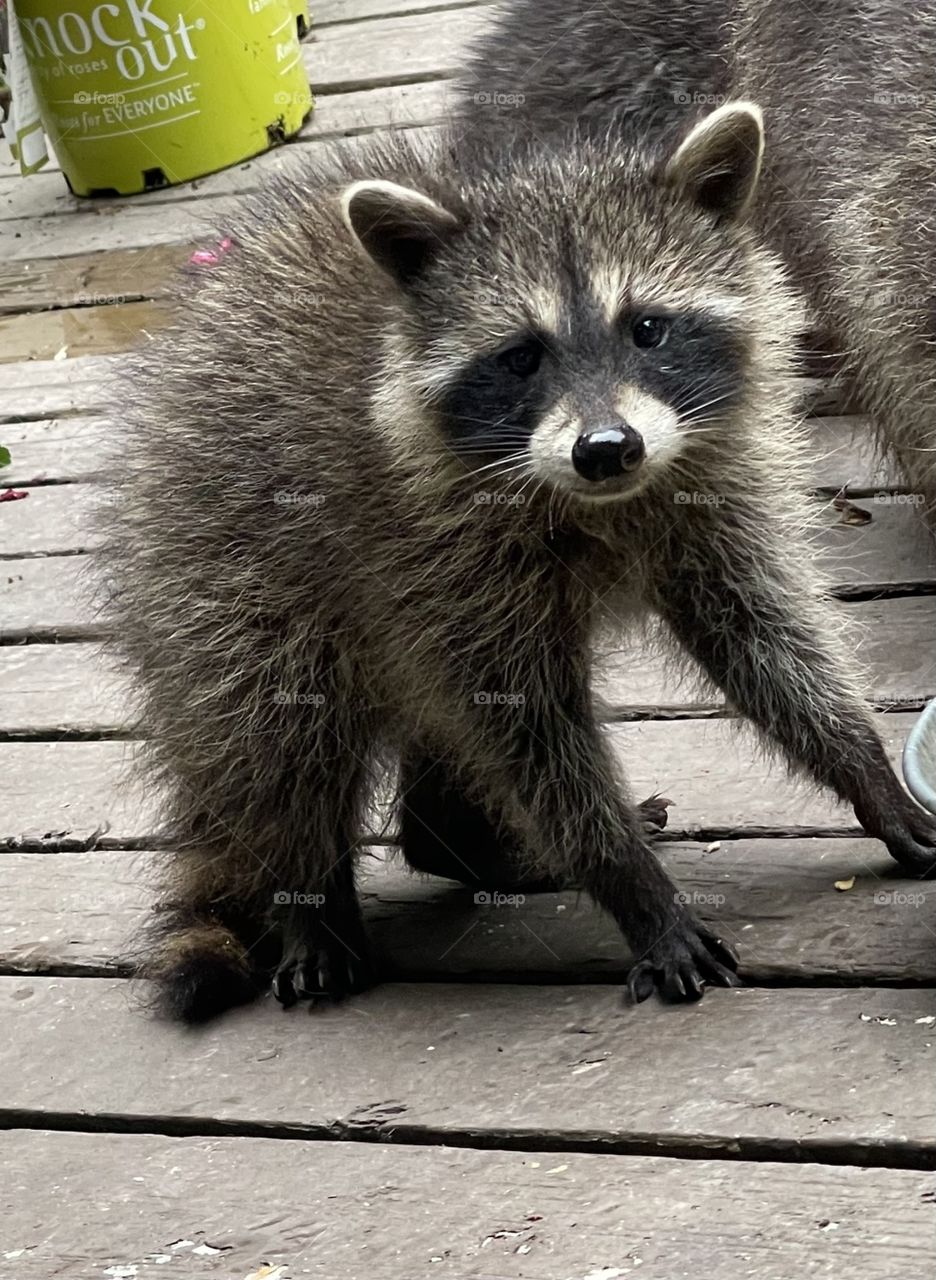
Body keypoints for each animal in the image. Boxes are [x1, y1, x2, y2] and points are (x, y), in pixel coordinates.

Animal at [102, 122, 936, 1025]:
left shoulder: (710, 497)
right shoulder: (434, 543)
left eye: (648, 329)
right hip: (224, 570)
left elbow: (763, 635)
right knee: (283, 730)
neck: (603, 500)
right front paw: (631, 883)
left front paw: (864, 767)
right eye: (520, 357)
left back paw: (457, 841)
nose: (605, 449)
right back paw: (309, 895)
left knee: (426, 715)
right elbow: (530, 729)